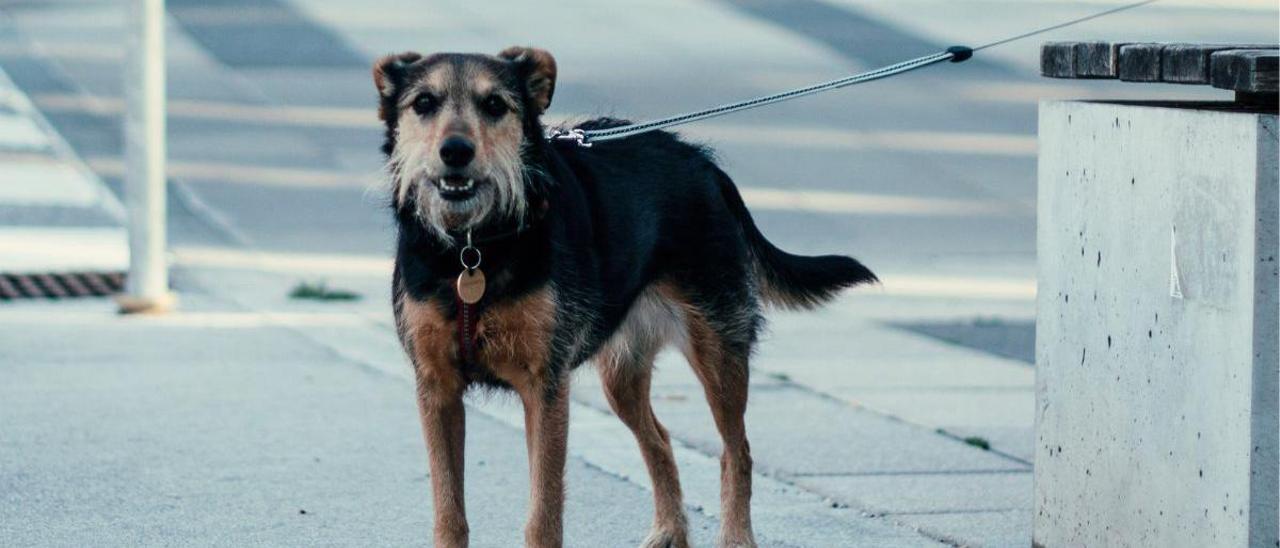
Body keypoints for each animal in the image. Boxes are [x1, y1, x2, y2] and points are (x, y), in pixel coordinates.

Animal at [373, 48, 880, 548]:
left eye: (494, 105)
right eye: (424, 103)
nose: (456, 152)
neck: (472, 249)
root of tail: (705, 165)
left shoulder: (545, 388)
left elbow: (544, 513)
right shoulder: (437, 388)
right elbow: (449, 510)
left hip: (720, 351)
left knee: (737, 450)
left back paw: (735, 538)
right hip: (622, 374)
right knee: (659, 438)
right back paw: (669, 531)